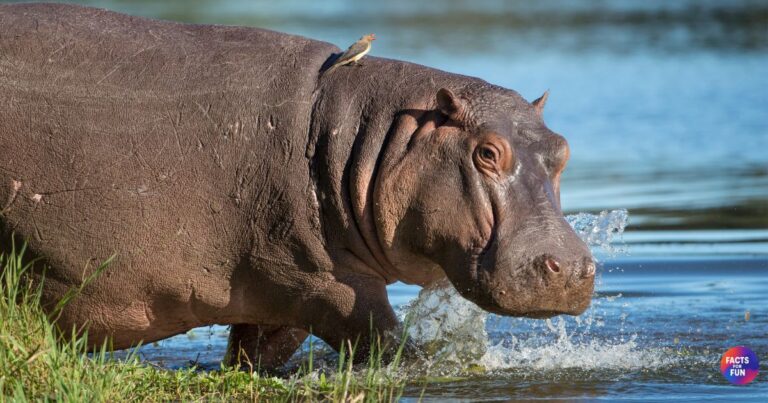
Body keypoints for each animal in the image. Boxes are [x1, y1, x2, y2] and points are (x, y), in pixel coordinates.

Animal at [0, 3, 595, 370]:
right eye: (487, 152)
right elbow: (390, 344)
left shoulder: (273, 292)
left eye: (563, 149)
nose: (572, 267)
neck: (370, 136)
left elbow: (256, 354)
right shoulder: (325, 283)